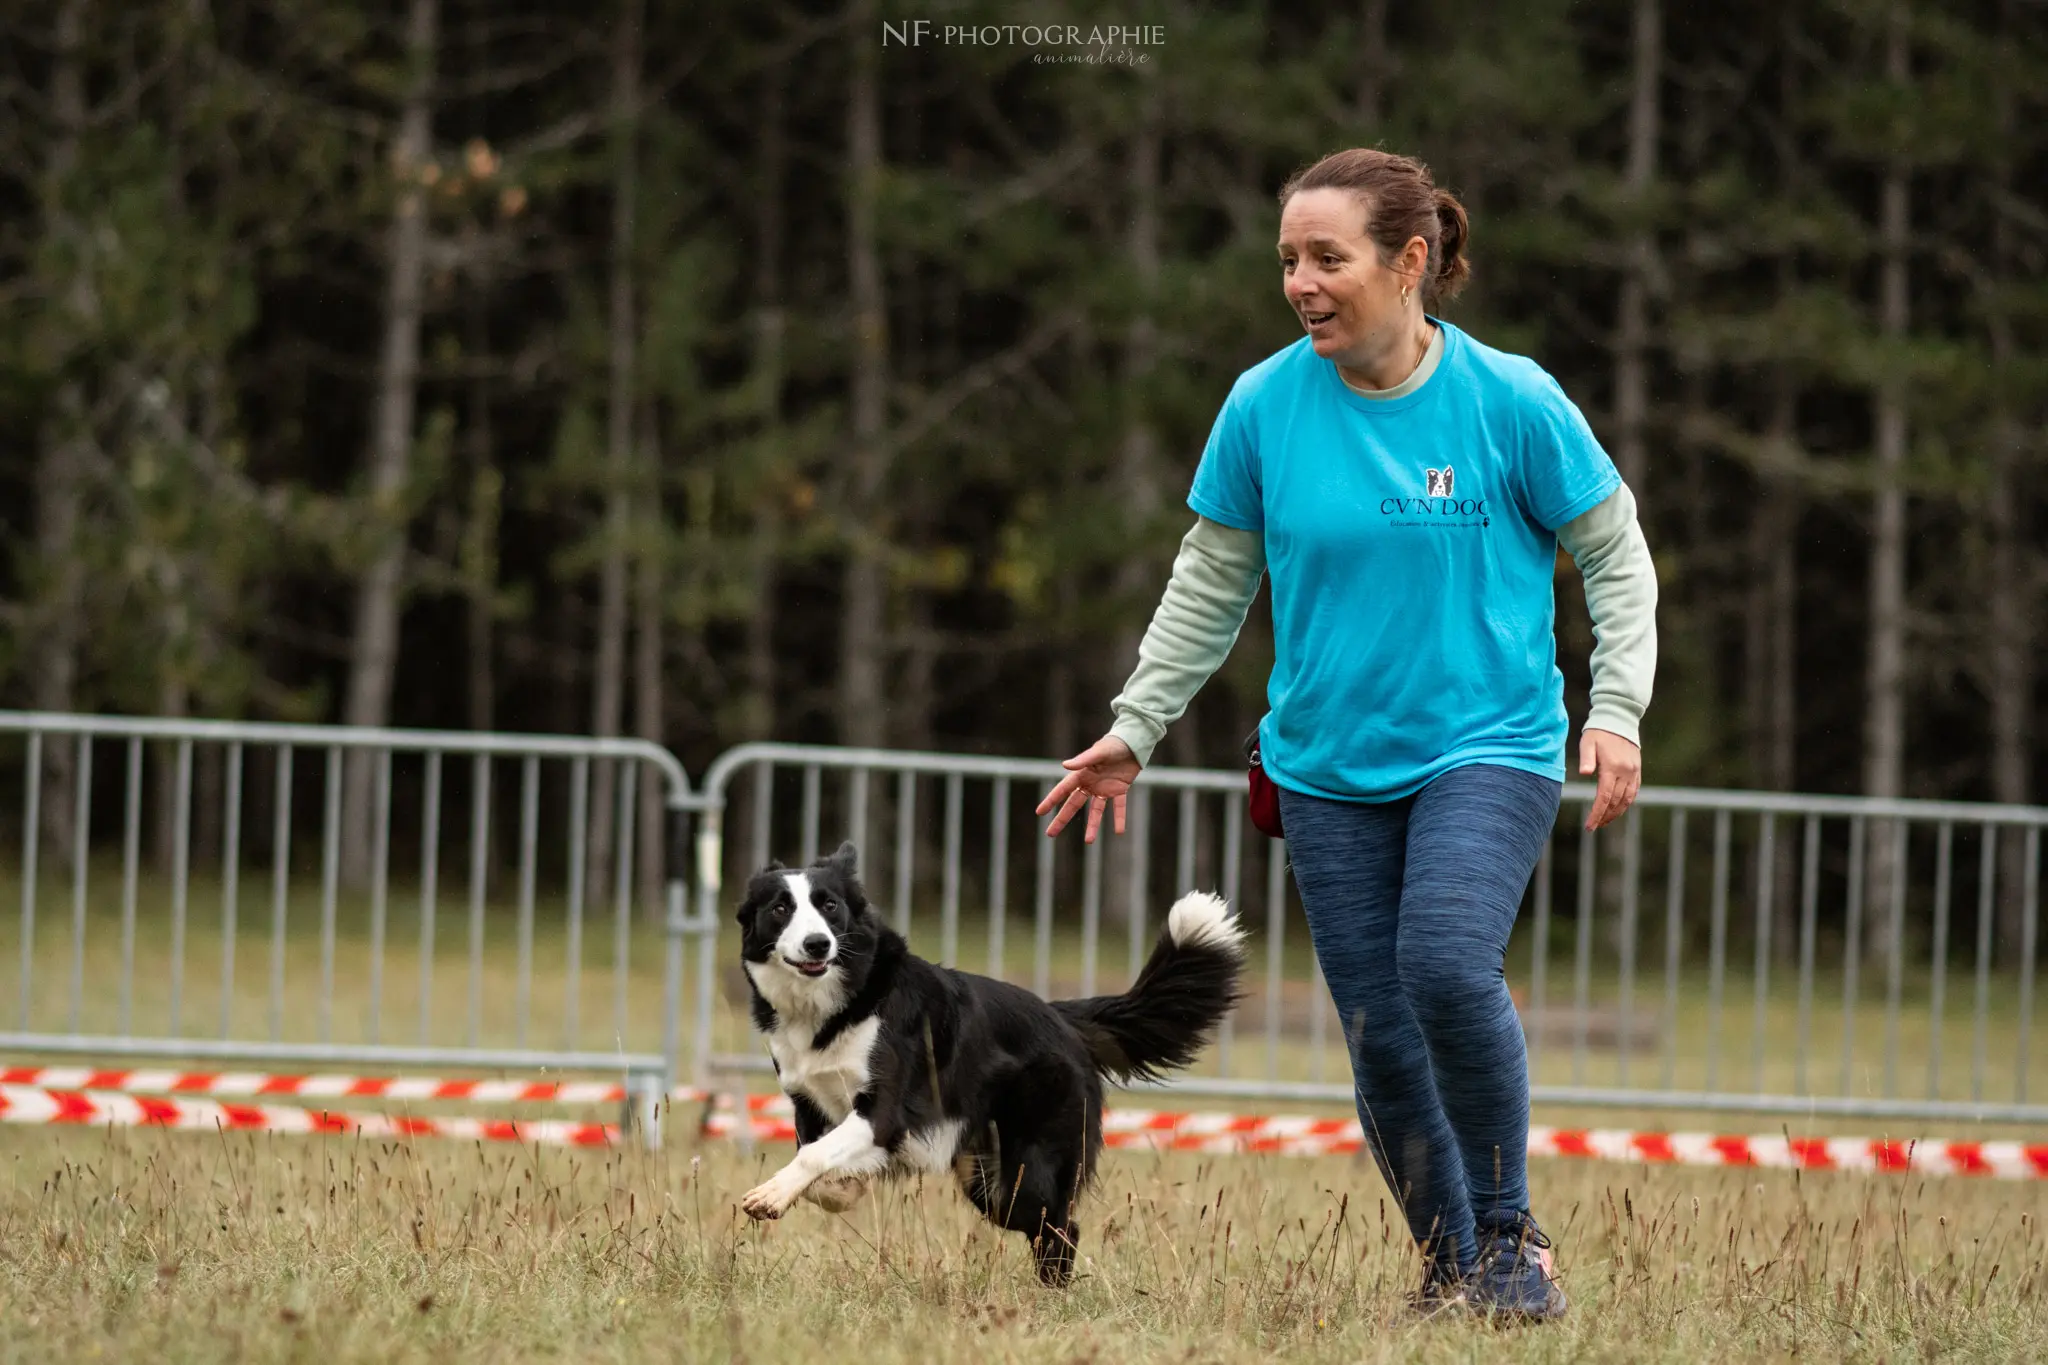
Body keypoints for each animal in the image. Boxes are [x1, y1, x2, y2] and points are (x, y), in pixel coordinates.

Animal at [737, 843, 1245, 1285]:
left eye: (829, 905)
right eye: (780, 909)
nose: (818, 945)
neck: (833, 1004)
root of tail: (1062, 1017)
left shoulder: (883, 1111)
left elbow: (814, 1155)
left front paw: (771, 1195)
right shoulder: (809, 1102)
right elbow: (815, 1161)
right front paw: (841, 1189)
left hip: (1030, 1166)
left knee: (1061, 1228)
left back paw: (1050, 1301)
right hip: (987, 1178)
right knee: (1048, 1227)